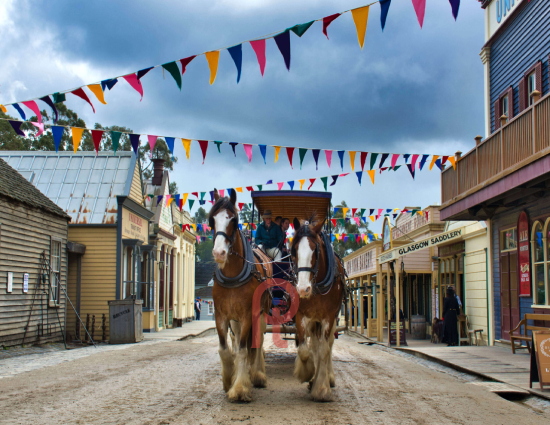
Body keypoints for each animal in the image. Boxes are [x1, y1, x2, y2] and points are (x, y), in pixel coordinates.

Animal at [209, 189, 271, 402]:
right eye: (212, 220)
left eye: (234, 219)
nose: (219, 253)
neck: (233, 276)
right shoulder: (221, 315)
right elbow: (225, 349)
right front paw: (229, 378)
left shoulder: (248, 315)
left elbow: (245, 349)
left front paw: (239, 388)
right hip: (234, 319)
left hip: (261, 313)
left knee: (258, 341)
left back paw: (258, 374)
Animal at [290, 216, 346, 402]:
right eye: (294, 250)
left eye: (315, 250)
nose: (303, 289)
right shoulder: (301, 316)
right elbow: (305, 350)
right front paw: (307, 374)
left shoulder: (328, 317)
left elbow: (323, 351)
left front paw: (321, 389)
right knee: (314, 345)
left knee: (328, 345)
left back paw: (329, 377)